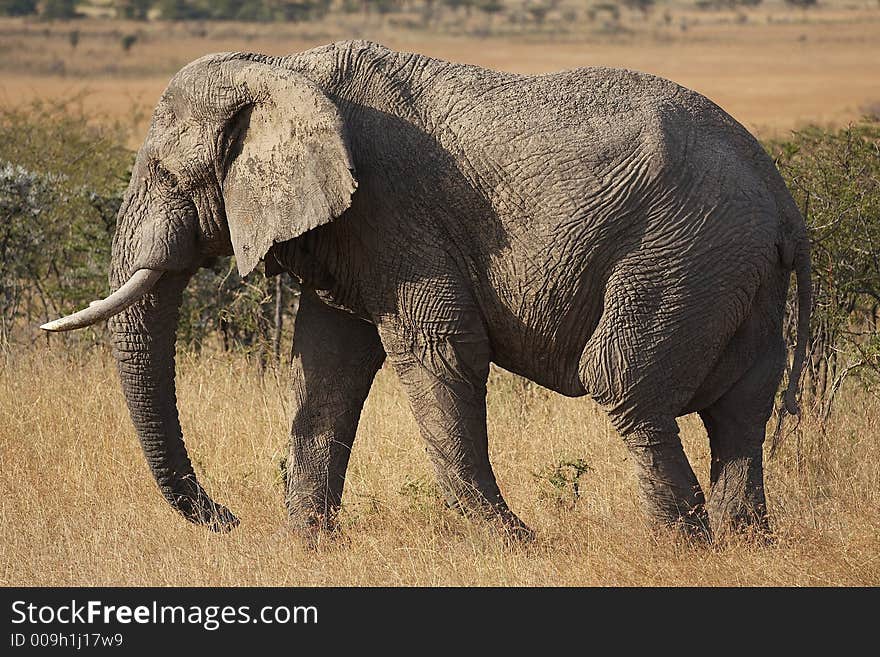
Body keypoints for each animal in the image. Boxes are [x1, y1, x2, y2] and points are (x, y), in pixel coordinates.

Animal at [43, 42, 812, 544]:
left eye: (164, 172)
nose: (230, 520)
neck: (285, 70)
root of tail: (783, 201)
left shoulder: (394, 211)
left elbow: (435, 350)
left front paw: (513, 547)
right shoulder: (352, 228)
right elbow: (329, 364)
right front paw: (307, 547)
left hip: (683, 251)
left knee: (626, 385)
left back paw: (682, 547)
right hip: (732, 270)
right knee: (741, 405)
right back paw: (743, 545)